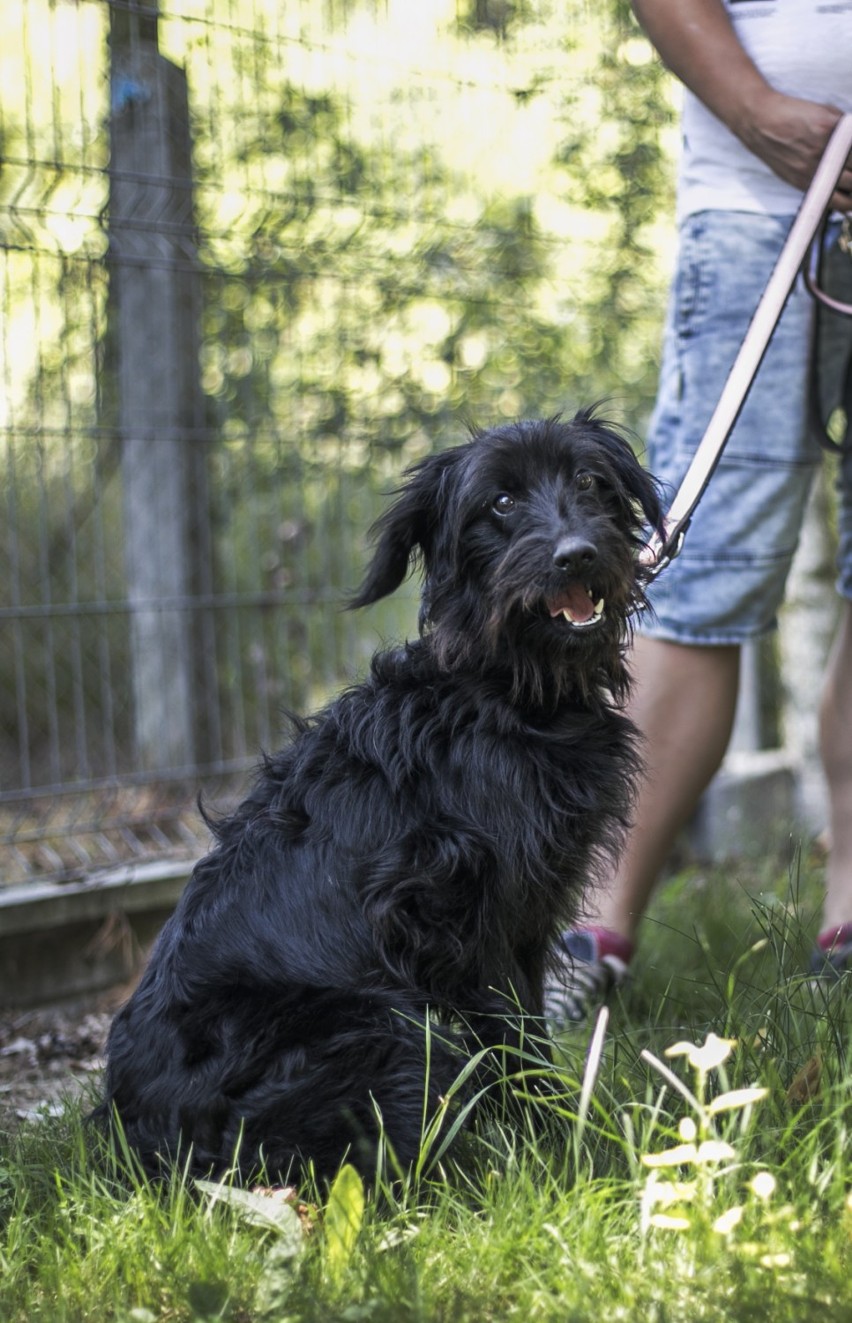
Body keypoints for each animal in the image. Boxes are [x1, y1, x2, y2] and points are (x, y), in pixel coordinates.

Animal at [96, 410, 661, 1180]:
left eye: (588, 481)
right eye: (501, 502)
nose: (576, 554)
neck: (500, 687)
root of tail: (146, 1143)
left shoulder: (525, 917)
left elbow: (525, 1032)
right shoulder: (468, 921)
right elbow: (514, 1038)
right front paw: (558, 1147)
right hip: (384, 1029)